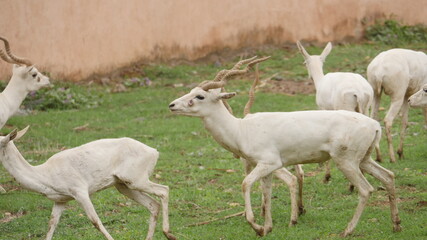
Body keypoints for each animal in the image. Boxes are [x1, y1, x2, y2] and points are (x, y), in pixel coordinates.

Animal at [0, 125, 176, 240]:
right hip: (123, 185)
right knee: (153, 204)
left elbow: (95, 221)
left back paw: (169, 234)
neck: (45, 177)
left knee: (164, 190)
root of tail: (155, 152)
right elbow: (51, 225)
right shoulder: (60, 200)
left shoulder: (80, 190)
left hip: (135, 179)